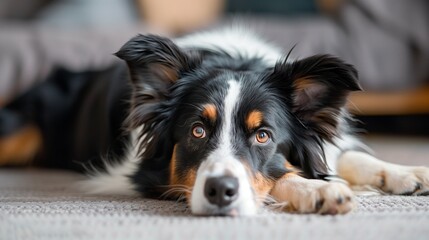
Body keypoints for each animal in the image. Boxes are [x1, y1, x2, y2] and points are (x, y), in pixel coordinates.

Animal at [0, 28, 428, 216]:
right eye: (197, 130)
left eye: (263, 135)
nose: (220, 192)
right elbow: (286, 176)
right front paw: (316, 190)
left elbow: (352, 157)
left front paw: (407, 173)